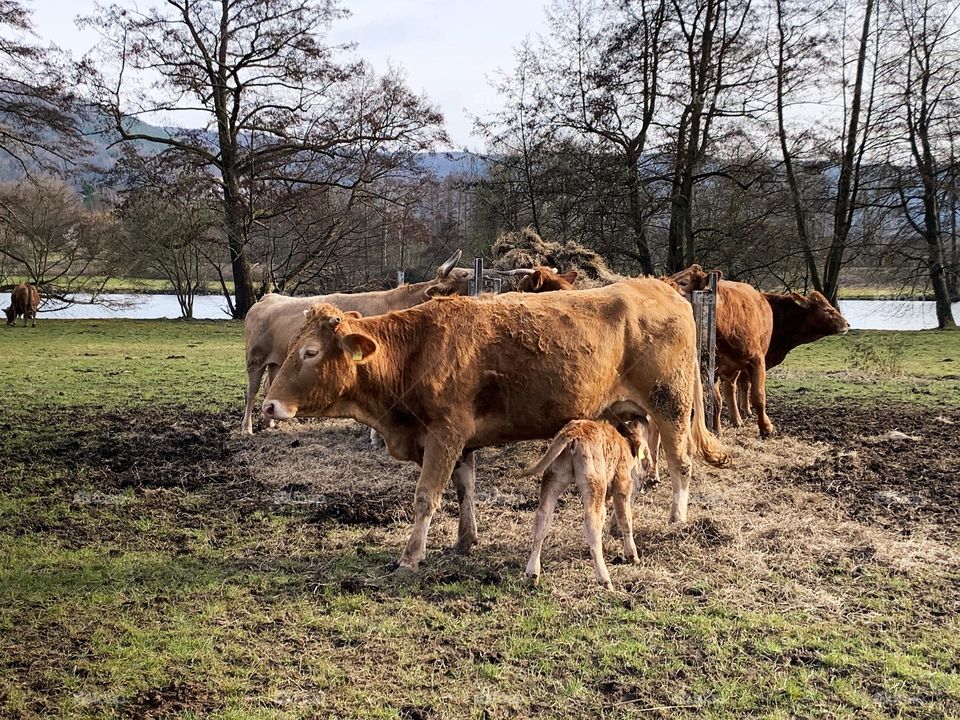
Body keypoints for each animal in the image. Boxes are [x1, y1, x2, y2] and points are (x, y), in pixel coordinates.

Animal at [240, 250, 472, 436]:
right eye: (464, 275)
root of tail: (266, 298)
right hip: (254, 359)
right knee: (252, 392)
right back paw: (247, 428)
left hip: (275, 362)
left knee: (270, 384)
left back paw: (269, 423)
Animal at [516, 420, 652, 588]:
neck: (624, 443)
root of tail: (574, 432)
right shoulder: (622, 485)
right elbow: (625, 520)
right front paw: (632, 556)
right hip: (594, 485)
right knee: (592, 524)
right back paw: (604, 579)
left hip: (552, 480)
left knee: (542, 519)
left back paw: (532, 575)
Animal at [672, 262, 776, 434]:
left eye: (684, 282)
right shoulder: (711, 367)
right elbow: (716, 401)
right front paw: (717, 430)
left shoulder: (757, 360)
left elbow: (758, 396)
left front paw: (766, 427)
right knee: (729, 388)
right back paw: (735, 419)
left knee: (732, 387)